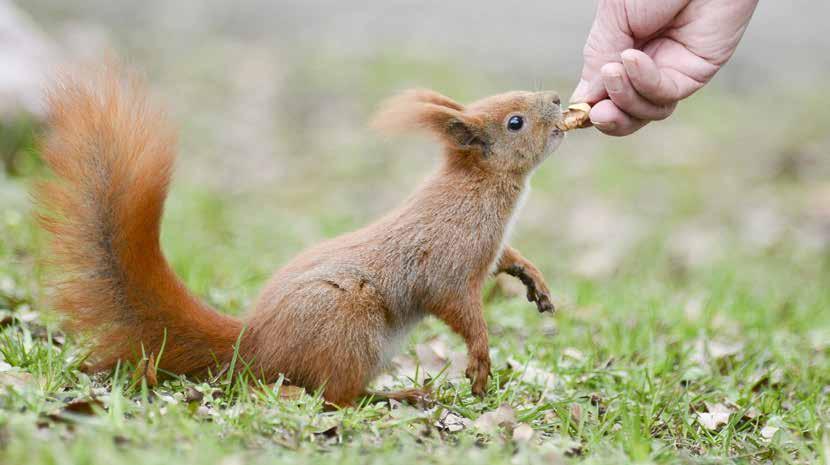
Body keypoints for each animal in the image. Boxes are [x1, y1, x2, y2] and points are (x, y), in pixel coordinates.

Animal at [34, 67, 564, 404]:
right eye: (514, 122)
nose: (559, 99)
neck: (478, 189)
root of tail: (254, 345)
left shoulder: (488, 250)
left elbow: (507, 258)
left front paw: (532, 278)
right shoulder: (447, 260)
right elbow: (458, 307)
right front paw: (480, 358)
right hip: (349, 326)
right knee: (336, 398)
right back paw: (399, 394)